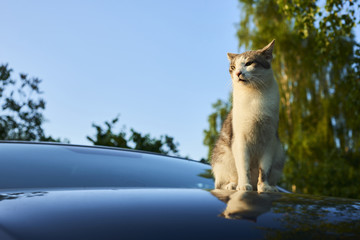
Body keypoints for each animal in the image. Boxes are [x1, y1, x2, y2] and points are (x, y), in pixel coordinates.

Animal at [211, 39, 284, 193]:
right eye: (233, 67)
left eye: (249, 63)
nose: (238, 72)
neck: (254, 96)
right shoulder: (240, 141)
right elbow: (243, 168)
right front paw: (244, 186)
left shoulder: (269, 142)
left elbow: (264, 169)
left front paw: (264, 187)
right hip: (222, 158)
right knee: (220, 183)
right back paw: (232, 185)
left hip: (279, 153)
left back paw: (272, 187)